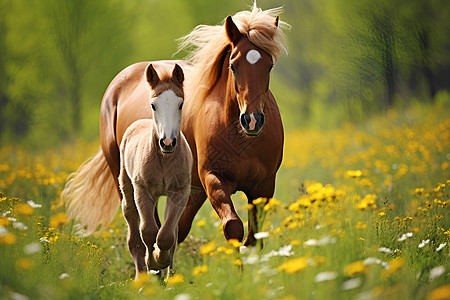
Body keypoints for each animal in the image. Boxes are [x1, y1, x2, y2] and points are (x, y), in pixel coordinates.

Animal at [61, 5, 288, 247]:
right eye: (233, 66)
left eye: (269, 66)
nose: (252, 120)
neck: (241, 138)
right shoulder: (213, 179)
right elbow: (233, 227)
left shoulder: (263, 186)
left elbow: (254, 238)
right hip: (123, 175)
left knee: (175, 227)